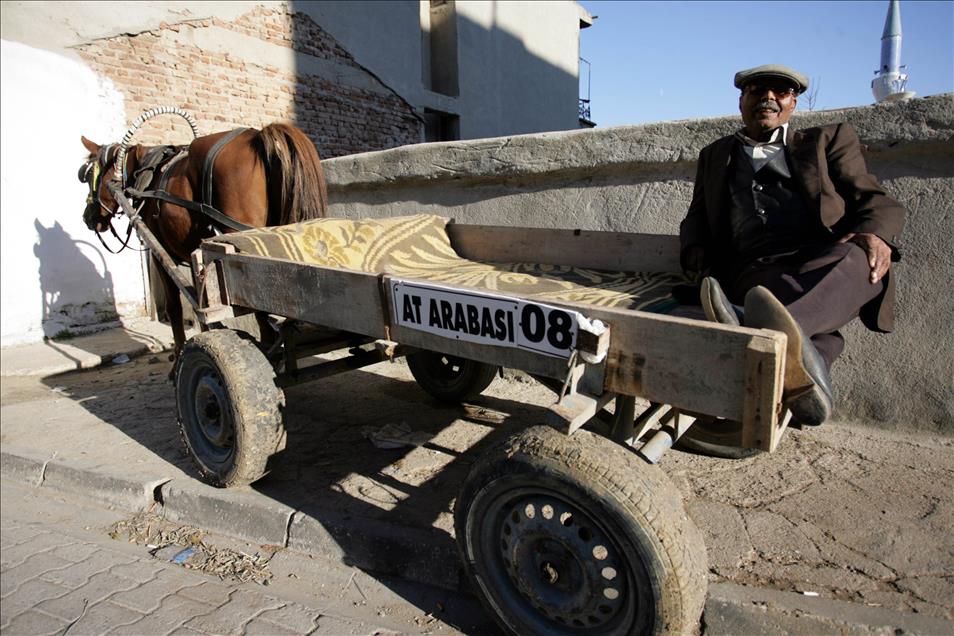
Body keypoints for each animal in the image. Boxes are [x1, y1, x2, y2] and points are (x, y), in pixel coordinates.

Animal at [76, 121, 328, 366]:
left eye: (87, 176)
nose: (88, 218)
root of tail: (258, 136)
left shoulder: (161, 256)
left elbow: (176, 308)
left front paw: (178, 359)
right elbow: (204, 306)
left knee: (258, 310)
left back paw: (268, 350)